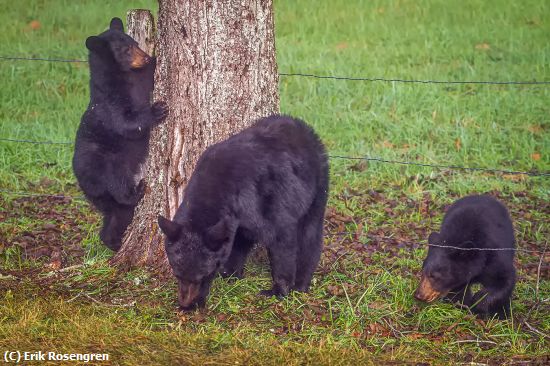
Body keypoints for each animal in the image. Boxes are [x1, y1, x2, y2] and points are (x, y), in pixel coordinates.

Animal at [73, 17, 168, 252]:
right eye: (125, 50)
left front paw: (155, 58)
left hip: (103, 197)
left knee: (117, 214)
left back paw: (113, 242)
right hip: (107, 165)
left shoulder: (141, 76)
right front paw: (157, 110)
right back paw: (137, 191)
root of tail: (82, 182)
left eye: (135, 43)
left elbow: (150, 74)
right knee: (119, 188)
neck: (124, 75)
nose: (144, 57)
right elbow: (126, 122)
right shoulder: (110, 100)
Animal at [157, 116, 330, 310]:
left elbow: (281, 241)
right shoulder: (237, 219)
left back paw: (301, 283)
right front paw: (230, 274)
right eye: (177, 274)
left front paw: (279, 290)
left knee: (310, 234)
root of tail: (303, 127)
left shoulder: (268, 204)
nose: (186, 304)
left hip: (317, 187)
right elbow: (238, 242)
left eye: (204, 275)